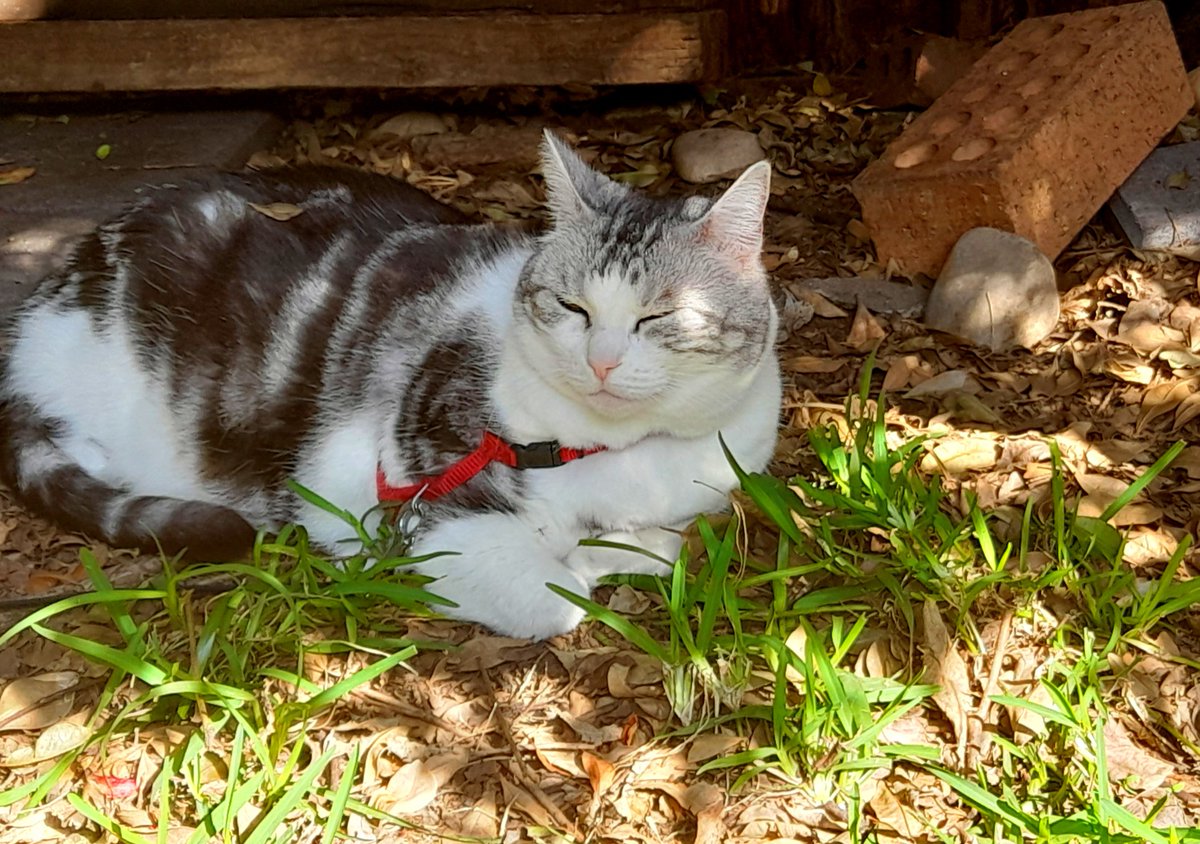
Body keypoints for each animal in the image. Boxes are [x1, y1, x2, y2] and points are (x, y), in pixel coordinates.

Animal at [0, 132, 782, 638]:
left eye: (659, 316)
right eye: (572, 308)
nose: (602, 361)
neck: (620, 458)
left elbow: (661, 540)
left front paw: (620, 543)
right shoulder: (420, 517)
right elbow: (559, 595)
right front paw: (581, 558)